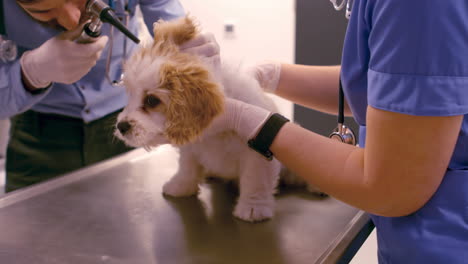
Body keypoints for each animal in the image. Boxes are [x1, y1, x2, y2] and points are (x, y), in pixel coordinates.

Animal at [116, 17, 322, 223]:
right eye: (129, 93)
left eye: (151, 100)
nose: (121, 126)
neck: (212, 134)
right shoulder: (190, 148)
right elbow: (186, 168)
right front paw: (180, 187)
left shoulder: (257, 152)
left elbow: (255, 180)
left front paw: (253, 207)